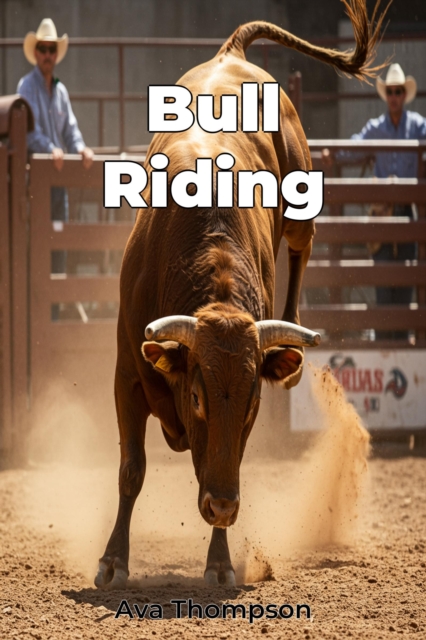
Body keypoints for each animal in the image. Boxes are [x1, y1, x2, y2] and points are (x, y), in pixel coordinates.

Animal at [95, 0, 387, 590]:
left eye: (252, 401)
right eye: (198, 396)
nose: (226, 507)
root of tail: (232, 54)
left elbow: (222, 461)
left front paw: (220, 561)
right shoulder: (126, 375)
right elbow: (132, 470)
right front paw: (113, 560)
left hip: (300, 191)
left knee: (302, 244)